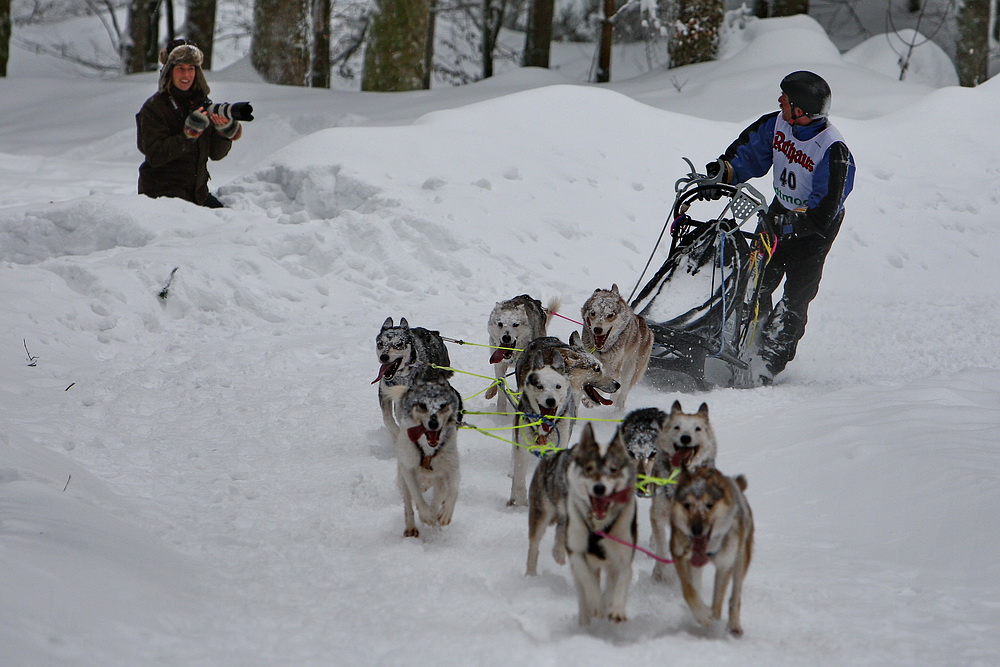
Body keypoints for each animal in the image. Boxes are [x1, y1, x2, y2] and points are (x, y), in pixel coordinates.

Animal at [394, 362, 464, 540]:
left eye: (443, 405)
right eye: (422, 405)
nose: (433, 423)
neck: (428, 452)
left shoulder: (451, 466)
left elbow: (454, 489)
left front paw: (445, 513)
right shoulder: (408, 468)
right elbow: (416, 495)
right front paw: (425, 514)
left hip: (440, 478)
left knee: (438, 496)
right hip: (402, 478)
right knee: (408, 504)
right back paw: (412, 526)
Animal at [568, 426, 636, 624]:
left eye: (613, 469)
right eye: (589, 468)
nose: (599, 488)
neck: (599, 526)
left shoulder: (623, 558)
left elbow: (622, 580)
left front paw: (616, 608)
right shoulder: (575, 552)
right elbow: (587, 577)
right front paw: (596, 603)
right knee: (582, 589)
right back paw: (585, 617)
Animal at [648, 402, 720, 584]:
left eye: (697, 428)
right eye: (677, 427)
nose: (685, 438)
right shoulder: (659, 515)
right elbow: (662, 548)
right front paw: (664, 573)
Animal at [672, 468, 752, 640]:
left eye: (709, 505)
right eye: (687, 505)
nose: (696, 530)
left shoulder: (725, 564)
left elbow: (718, 602)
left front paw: (713, 620)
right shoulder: (679, 555)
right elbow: (689, 591)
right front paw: (701, 615)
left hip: (740, 560)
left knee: (735, 596)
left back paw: (734, 626)